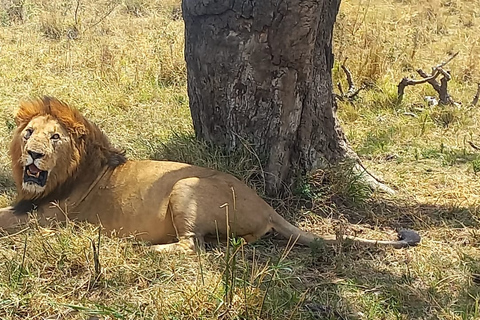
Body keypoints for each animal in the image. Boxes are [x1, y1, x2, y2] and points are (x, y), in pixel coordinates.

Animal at [0, 97, 420, 252]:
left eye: (55, 137)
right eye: (28, 134)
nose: (33, 155)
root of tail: (265, 205)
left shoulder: (50, 217)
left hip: (186, 186)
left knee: (192, 248)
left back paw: (143, 248)